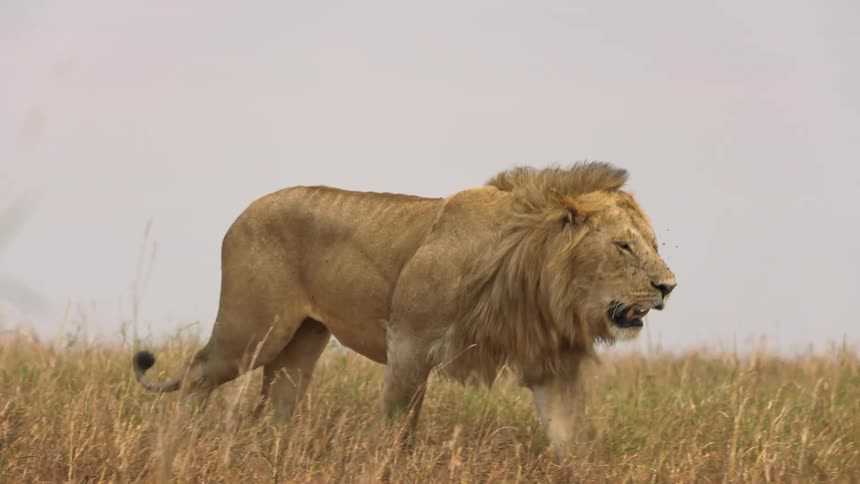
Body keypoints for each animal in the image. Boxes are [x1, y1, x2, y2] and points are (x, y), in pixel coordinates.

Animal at [132, 161, 676, 458]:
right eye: (624, 247)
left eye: (653, 244)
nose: (669, 286)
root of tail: (244, 211)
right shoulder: (410, 340)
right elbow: (397, 425)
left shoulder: (552, 362)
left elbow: (568, 436)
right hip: (254, 328)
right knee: (199, 368)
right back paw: (182, 437)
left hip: (301, 341)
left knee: (275, 404)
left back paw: (272, 454)